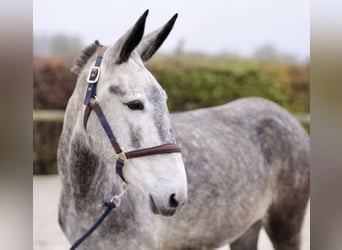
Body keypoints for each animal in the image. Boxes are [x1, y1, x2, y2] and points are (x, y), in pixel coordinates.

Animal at [58, 10, 310, 250]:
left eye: (164, 99)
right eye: (134, 104)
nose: (175, 196)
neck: (86, 201)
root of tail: (288, 118)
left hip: (286, 227)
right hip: (246, 229)